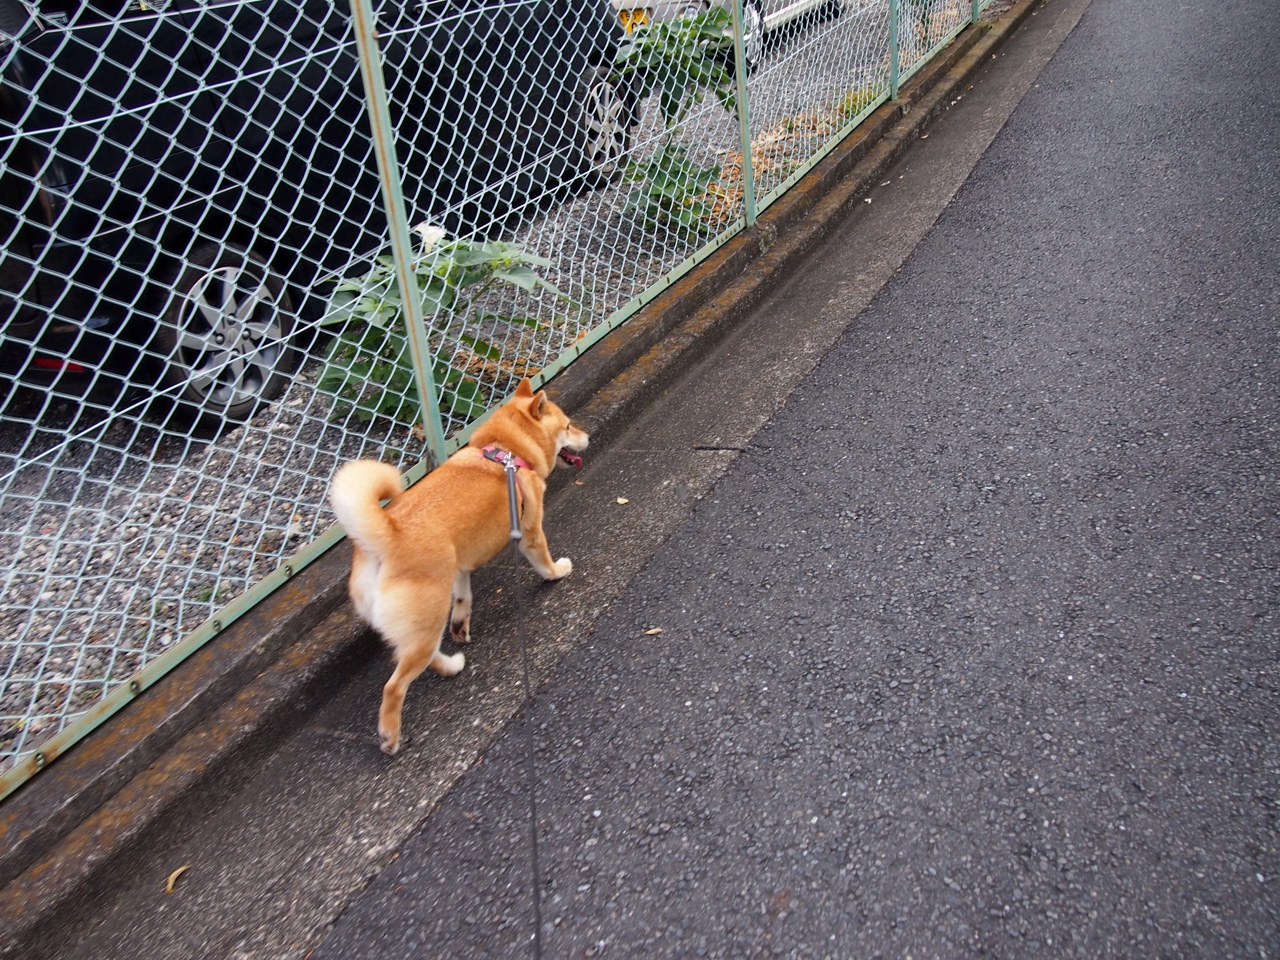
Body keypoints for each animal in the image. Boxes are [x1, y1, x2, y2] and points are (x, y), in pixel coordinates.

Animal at [330, 378, 588, 757]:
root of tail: (388, 536)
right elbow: (543, 562)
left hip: (424, 621)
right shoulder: (530, 533)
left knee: (416, 656)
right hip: (427, 617)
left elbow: (464, 597)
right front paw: (558, 572)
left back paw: (451, 665)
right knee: (394, 686)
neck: (507, 451)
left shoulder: (461, 564)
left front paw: (461, 626)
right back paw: (390, 737)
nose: (586, 435)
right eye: (568, 426)